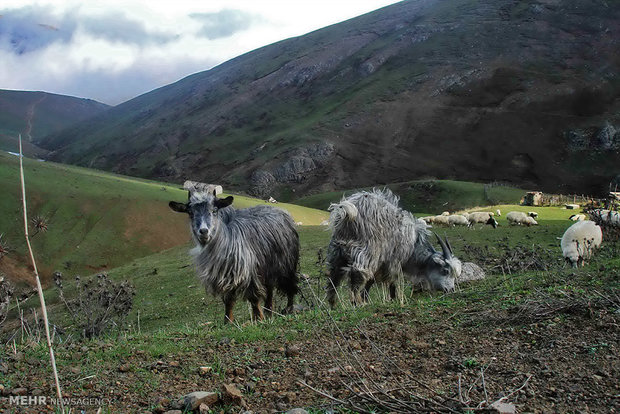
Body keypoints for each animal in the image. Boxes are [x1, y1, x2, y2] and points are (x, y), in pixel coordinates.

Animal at [167, 190, 298, 324]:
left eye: (214, 210)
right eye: (190, 213)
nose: (203, 231)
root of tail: (281, 210)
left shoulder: (249, 273)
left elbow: (254, 298)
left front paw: (258, 318)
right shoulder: (225, 277)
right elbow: (228, 301)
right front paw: (227, 321)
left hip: (286, 264)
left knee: (290, 285)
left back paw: (288, 308)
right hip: (268, 268)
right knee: (270, 289)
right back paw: (269, 311)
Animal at [326, 188, 462, 308]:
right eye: (445, 270)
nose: (451, 289)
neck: (413, 244)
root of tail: (349, 210)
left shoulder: (382, 263)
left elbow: (371, 281)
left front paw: (367, 299)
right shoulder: (392, 260)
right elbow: (391, 281)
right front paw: (392, 299)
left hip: (338, 249)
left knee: (334, 275)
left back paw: (333, 305)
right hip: (368, 250)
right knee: (357, 272)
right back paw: (357, 303)